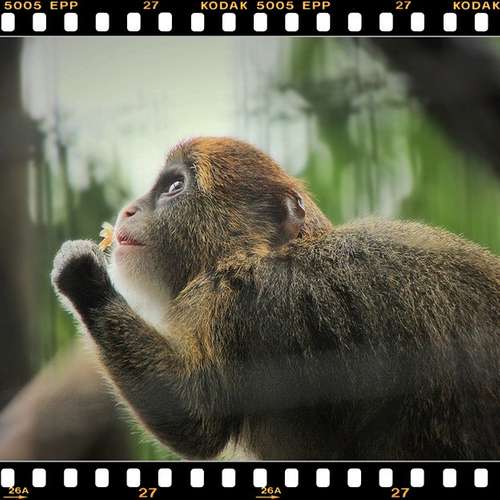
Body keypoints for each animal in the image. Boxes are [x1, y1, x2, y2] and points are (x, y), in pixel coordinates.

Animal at [51, 137, 500, 460]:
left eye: (175, 187)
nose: (128, 211)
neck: (260, 252)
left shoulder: (237, 299)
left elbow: (197, 418)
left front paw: (84, 279)